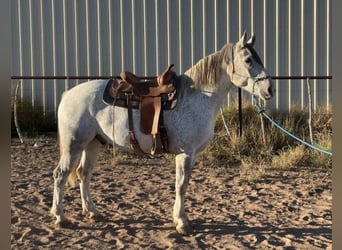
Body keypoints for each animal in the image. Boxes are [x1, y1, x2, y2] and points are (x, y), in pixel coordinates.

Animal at [50, 32, 274, 234]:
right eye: (248, 60)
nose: (270, 89)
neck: (197, 96)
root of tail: (68, 94)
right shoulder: (185, 153)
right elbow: (181, 186)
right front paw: (182, 223)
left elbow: (181, 185)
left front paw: (179, 218)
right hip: (74, 145)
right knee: (60, 174)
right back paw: (60, 217)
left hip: (92, 143)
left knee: (83, 174)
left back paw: (92, 212)